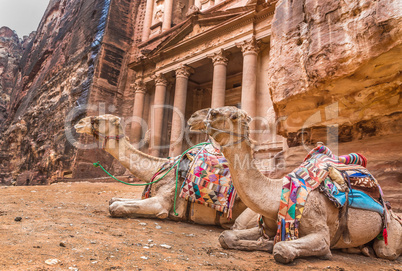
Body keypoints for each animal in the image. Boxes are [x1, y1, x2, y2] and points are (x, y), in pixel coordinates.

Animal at [73, 113, 256, 231]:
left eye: (98, 120)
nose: (78, 123)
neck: (158, 168)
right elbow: (114, 200)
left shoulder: (161, 202)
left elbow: (116, 206)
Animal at [189, 106, 402, 264]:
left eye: (234, 116)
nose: (210, 113)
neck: (276, 195)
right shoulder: (268, 224)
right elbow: (226, 236)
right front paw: (262, 242)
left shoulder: (319, 231)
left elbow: (282, 247)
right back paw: (360, 248)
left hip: (389, 235)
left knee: (386, 251)